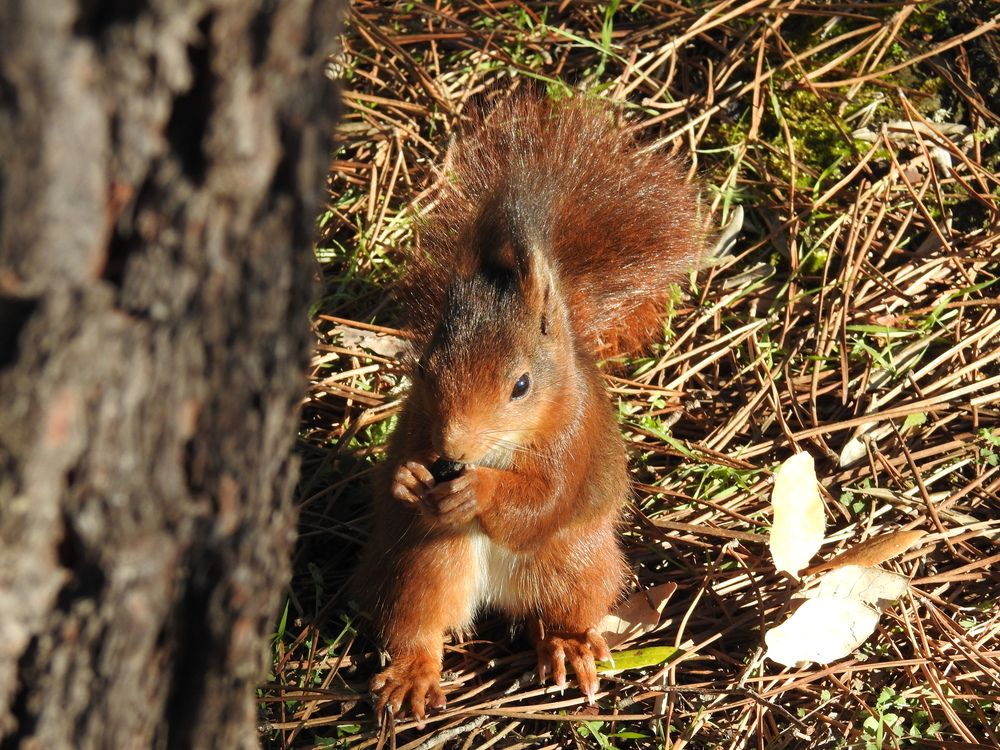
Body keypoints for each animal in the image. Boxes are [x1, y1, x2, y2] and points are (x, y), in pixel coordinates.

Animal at [356, 94, 707, 723]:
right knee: (417, 621)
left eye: (521, 385)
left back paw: (567, 645)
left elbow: (541, 503)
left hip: (575, 566)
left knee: (558, 612)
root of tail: (497, 596)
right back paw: (414, 673)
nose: (452, 451)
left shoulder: (573, 439)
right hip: (424, 565)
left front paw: (481, 491)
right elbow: (396, 469)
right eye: (424, 368)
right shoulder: (416, 420)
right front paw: (409, 476)